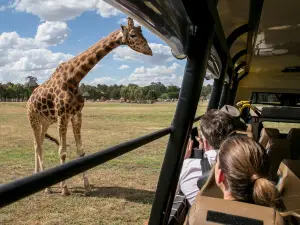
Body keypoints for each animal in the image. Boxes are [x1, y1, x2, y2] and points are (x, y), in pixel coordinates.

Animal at [26, 17, 152, 195]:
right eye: (133, 34)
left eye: (142, 32)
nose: (150, 51)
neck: (74, 78)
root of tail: (29, 99)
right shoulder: (62, 115)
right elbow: (62, 152)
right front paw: (64, 188)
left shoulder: (76, 114)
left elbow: (81, 151)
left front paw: (86, 186)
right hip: (33, 119)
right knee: (38, 146)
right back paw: (48, 188)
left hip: (45, 122)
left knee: (38, 144)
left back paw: (40, 177)